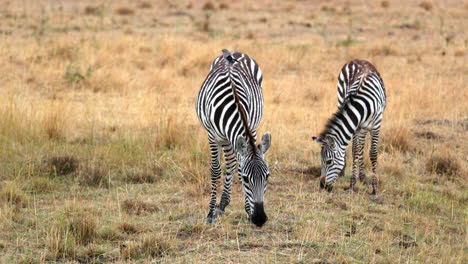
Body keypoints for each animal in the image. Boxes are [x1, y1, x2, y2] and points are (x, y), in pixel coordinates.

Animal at [196, 48, 272, 226]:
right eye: (245, 179)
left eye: (267, 176)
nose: (259, 219)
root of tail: (234, 52)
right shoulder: (212, 135)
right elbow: (215, 170)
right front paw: (210, 213)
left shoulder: (251, 128)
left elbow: (238, 166)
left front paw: (248, 211)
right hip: (224, 138)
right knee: (229, 163)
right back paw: (220, 205)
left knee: (231, 163)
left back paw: (224, 203)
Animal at [312, 60, 386, 196]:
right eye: (320, 160)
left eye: (329, 161)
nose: (322, 186)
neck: (363, 106)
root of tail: (358, 60)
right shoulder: (356, 127)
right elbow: (355, 151)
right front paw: (352, 185)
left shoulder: (376, 126)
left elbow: (373, 153)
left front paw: (374, 188)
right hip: (341, 100)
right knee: (359, 148)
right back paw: (358, 176)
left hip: (366, 127)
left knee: (363, 146)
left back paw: (363, 178)